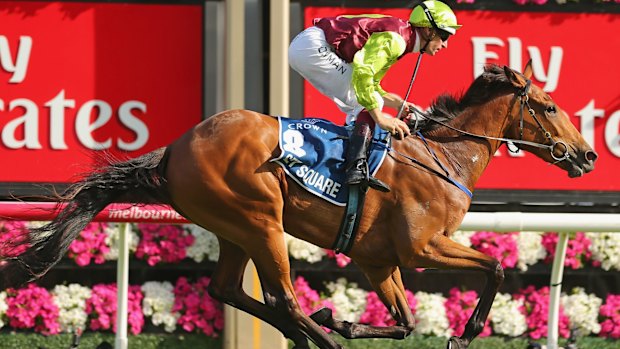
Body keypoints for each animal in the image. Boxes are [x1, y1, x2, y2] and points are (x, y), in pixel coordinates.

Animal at [2, 63, 600, 348]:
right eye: (548, 105)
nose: (588, 154)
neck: (443, 157)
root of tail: (174, 149)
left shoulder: (377, 261)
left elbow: (406, 322)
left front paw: (347, 319)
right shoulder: (422, 247)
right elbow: (495, 266)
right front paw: (466, 331)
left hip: (235, 227)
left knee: (228, 289)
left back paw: (314, 329)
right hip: (261, 221)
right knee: (282, 297)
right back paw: (318, 336)